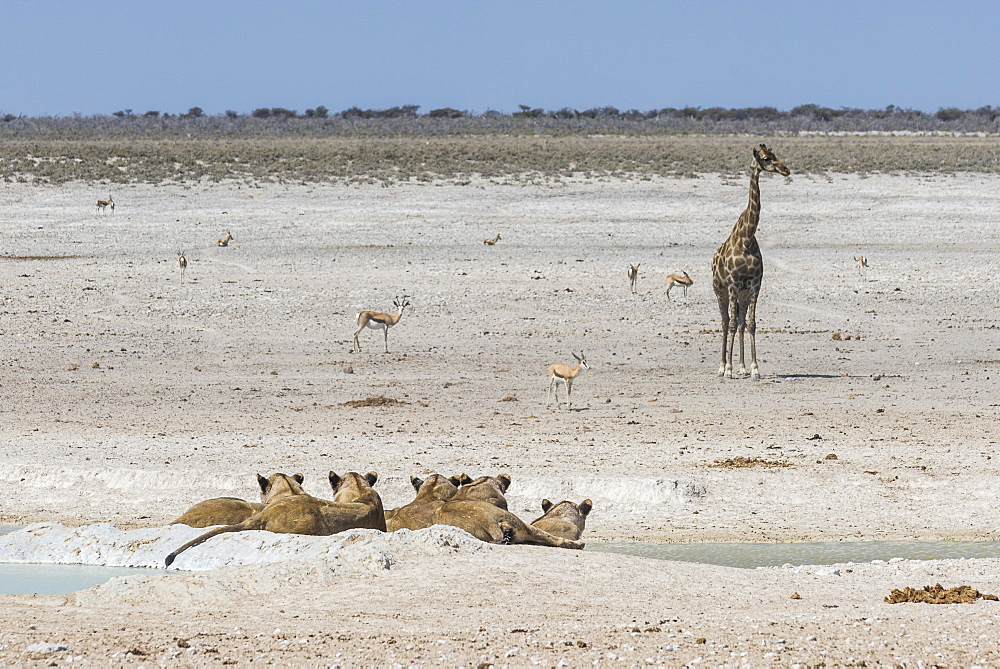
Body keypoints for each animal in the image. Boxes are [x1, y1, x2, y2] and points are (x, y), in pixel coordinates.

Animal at [712, 143, 788, 378]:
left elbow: (751, 323)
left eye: (775, 155)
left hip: (742, 294)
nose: (786, 170)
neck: (746, 237)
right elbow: (732, 324)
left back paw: (742, 367)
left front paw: (753, 368)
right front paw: (728, 369)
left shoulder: (754, 284)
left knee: (740, 321)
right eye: (765, 158)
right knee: (726, 322)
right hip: (720, 290)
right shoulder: (733, 284)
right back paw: (722, 367)